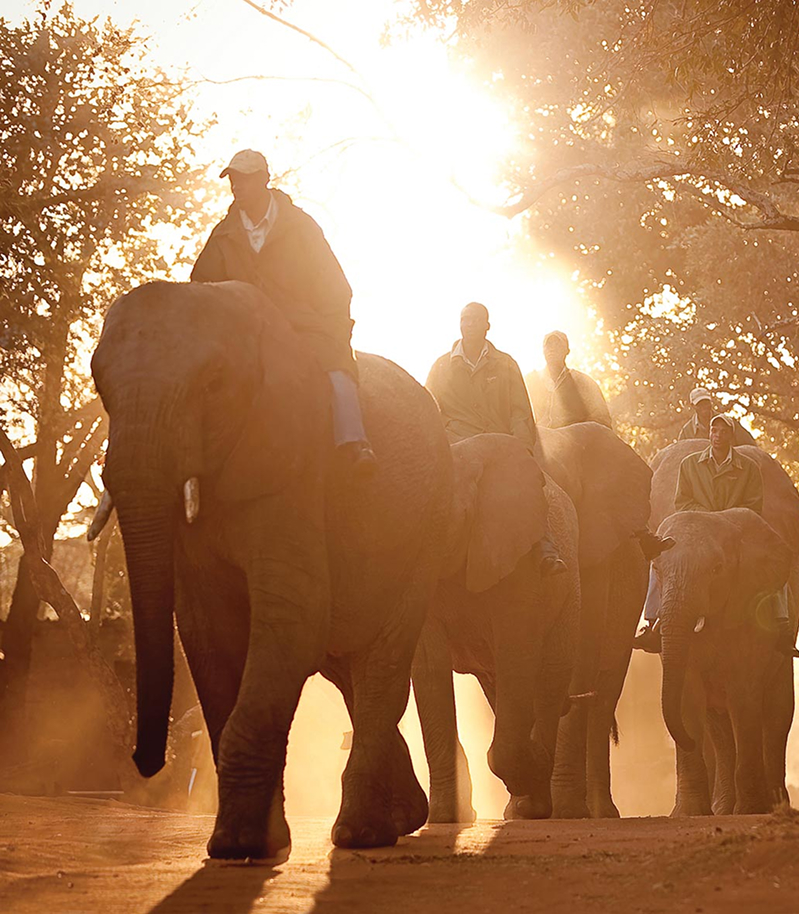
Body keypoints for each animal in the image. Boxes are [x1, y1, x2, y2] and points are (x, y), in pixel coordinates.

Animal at [90, 280, 452, 862]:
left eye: (214, 383)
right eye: (98, 383)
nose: (145, 763)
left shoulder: (295, 467)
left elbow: (292, 616)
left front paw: (241, 844)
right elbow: (209, 633)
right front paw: (247, 843)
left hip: (427, 527)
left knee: (381, 665)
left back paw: (361, 835)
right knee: (345, 665)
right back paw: (401, 820)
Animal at [412, 433, 580, 823]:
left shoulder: (520, 560)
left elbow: (517, 652)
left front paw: (533, 764)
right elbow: (429, 666)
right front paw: (444, 817)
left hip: (568, 590)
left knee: (548, 675)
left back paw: (531, 805)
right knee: (500, 687)